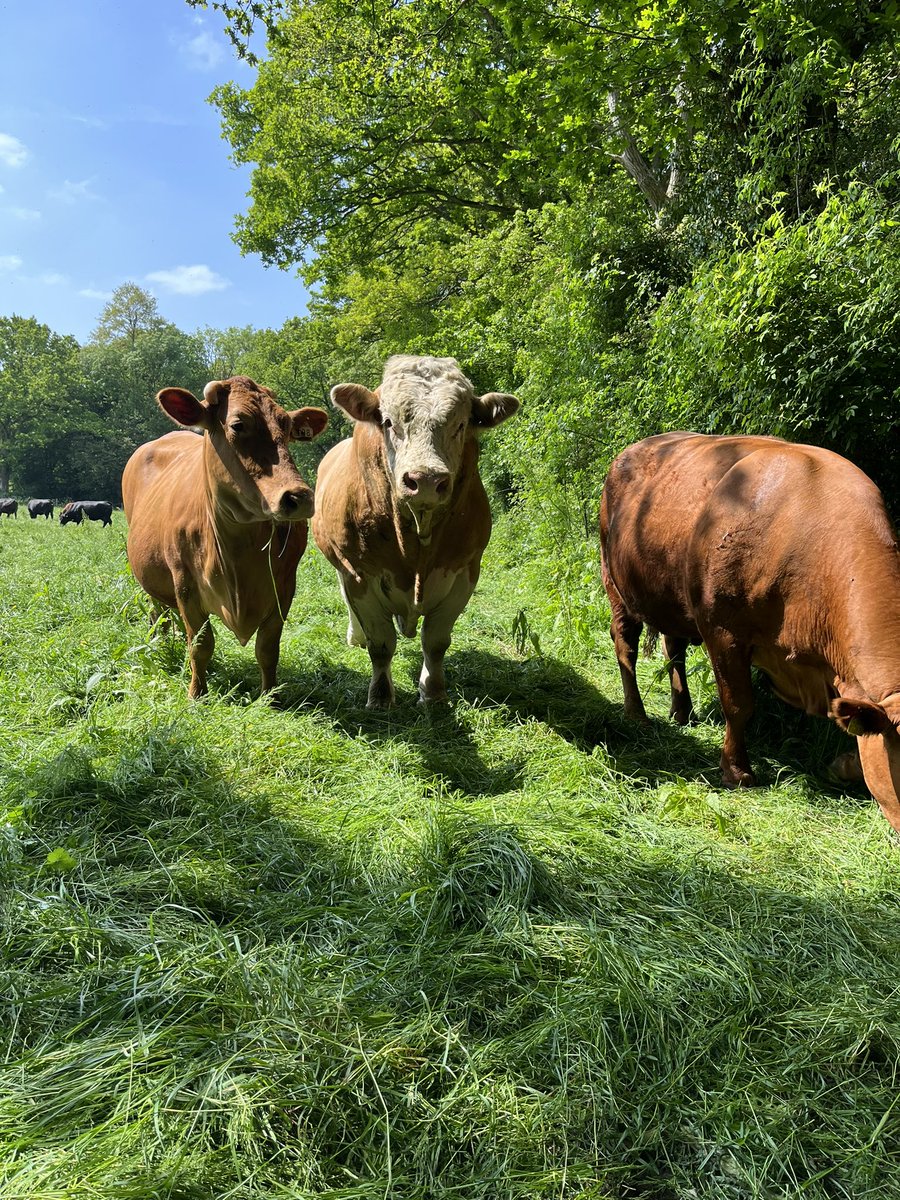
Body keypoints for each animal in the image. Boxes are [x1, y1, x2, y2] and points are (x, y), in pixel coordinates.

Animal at [122, 376, 328, 699]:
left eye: (286, 426)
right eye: (238, 425)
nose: (299, 497)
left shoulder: (284, 587)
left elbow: (268, 648)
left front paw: (270, 696)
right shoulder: (184, 584)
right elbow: (201, 644)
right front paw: (197, 693)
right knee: (160, 616)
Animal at [312, 355, 519, 707]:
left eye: (460, 424)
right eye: (388, 422)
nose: (425, 479)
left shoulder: (464, 572)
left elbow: (435, 642)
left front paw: (433, 691)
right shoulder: (359, 575)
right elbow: (381, 644)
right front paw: (381, 697)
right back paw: (355, 635)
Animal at [600, 431, 900, 832]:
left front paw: (843, 765)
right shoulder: (723, 630)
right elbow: (739, 704)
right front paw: (737, 771)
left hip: (673, 598)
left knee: (674, 648)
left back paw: (682, 712)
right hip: (615, 582)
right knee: (626, 647)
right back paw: (636, 714)